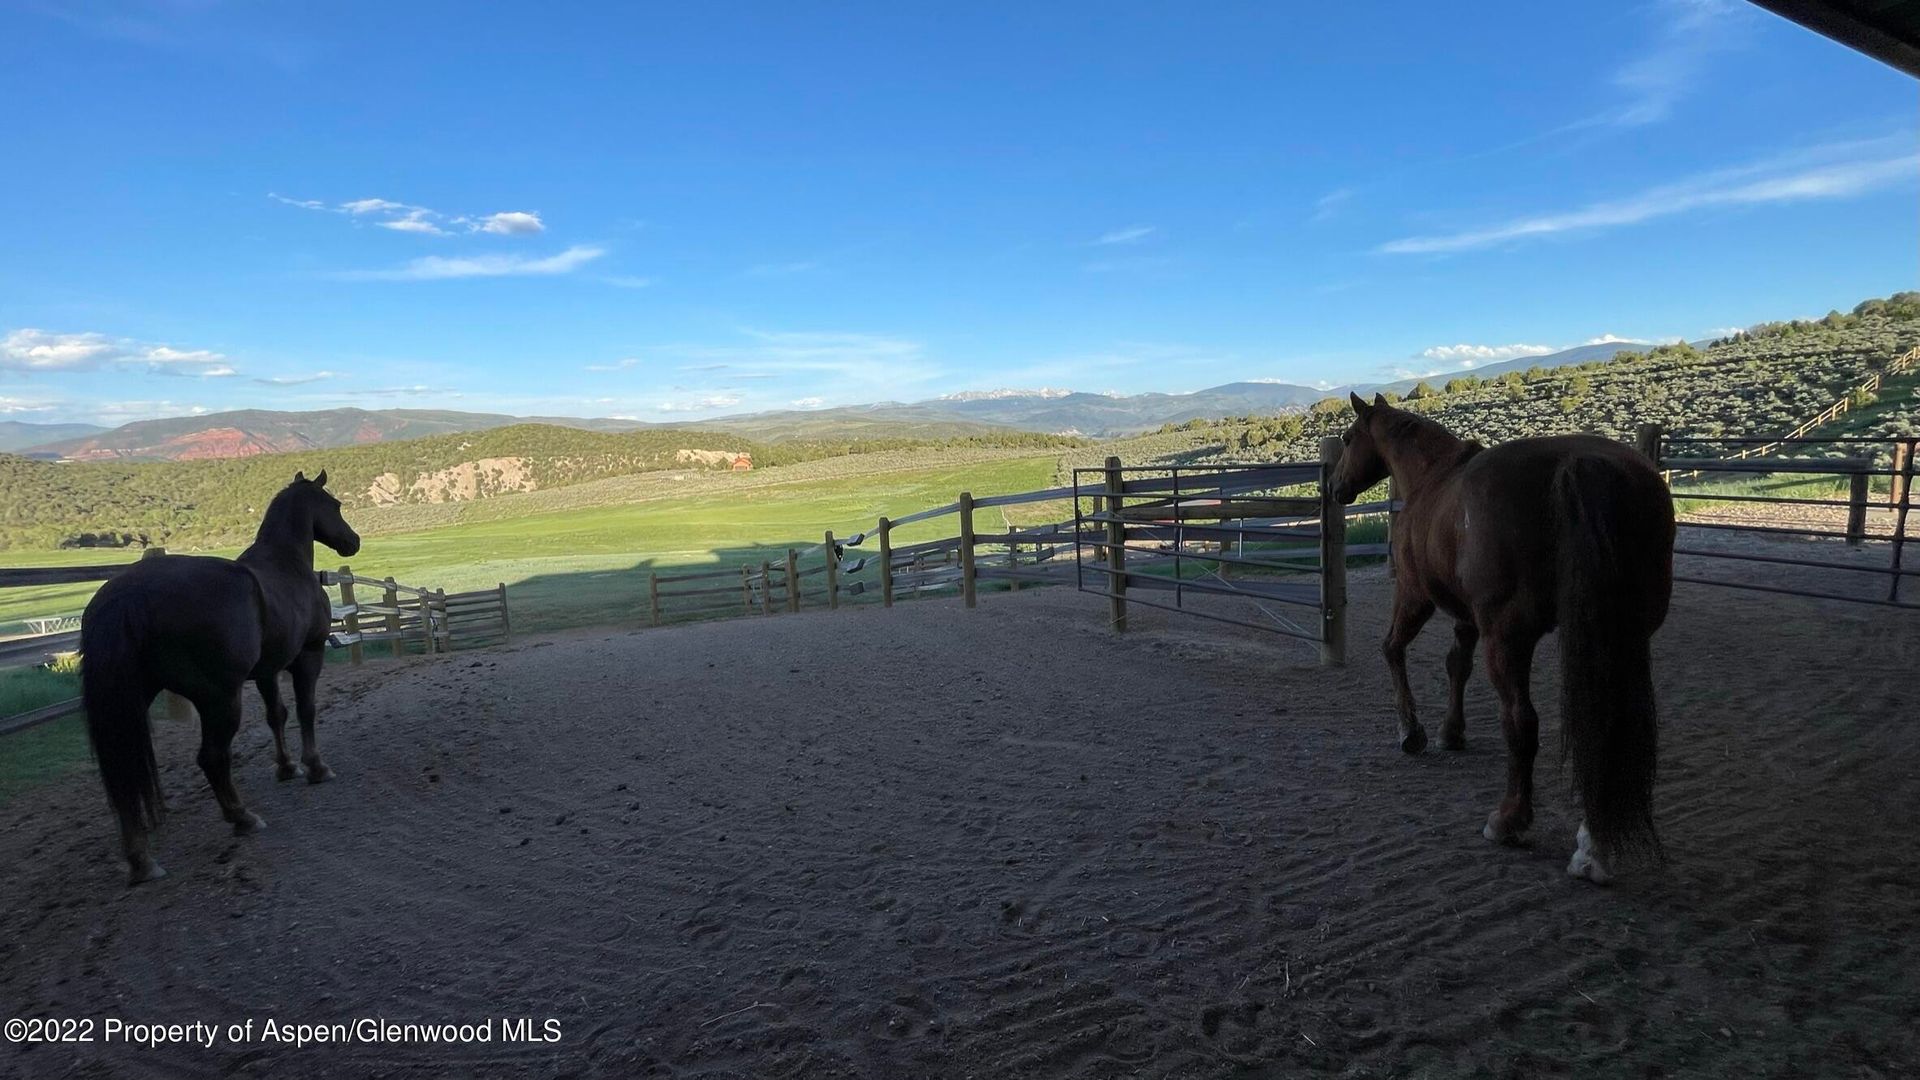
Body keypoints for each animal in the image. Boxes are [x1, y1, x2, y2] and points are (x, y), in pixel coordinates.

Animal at [82, 470, 360, 883]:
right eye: (335, 505)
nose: (353, 542)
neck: (286, 563)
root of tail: (129, 595)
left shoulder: (266, 671)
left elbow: (276, 715)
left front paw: (286, 767)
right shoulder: (307, 658)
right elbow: (306, 710)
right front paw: (315, 767)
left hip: (132, 703)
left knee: (122, 777)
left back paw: (141, 860)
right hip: (220, 699)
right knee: (212, 758)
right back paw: (242, 817)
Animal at [1328, 395, 1674, 883]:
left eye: (1347, 438)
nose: (1336, 487)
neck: (1432, 478)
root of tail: (1583, 463)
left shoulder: (1416, 596)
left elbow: (1392, 649)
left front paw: (1411, 732)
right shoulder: (1468, 618)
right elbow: (1457, 664)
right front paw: (1450, 732)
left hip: (1508, 639)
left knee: (1521, 722)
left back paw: (1509, 820)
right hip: (1623, 633)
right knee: (1609, 721)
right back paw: (1594, 847)